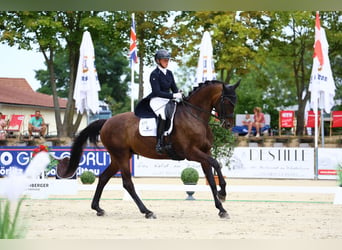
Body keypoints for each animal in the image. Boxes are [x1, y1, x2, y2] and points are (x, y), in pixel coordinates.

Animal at [57, 79, 240, 219]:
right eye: (227, 101)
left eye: (235, 102)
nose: (229, 125)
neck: (194, 116)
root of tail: (106, 122)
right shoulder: (191, 153)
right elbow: (216, 164)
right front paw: (223, 194)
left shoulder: (204, 152)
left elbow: (211, 179)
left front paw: (221, 209)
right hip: (121, 156)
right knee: (127, 183)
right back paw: (147, 211)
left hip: (119, 157)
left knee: (103, 178)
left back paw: (98, 208)